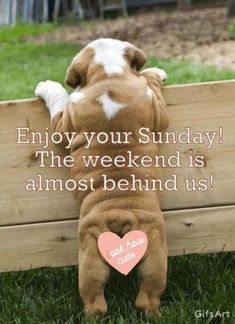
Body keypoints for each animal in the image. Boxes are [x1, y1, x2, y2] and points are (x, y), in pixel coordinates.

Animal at [35, 38, 169, 316]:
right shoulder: (157, 110)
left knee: (107, 296)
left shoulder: (64, 122)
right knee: (132, 295)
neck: (108, 76)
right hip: (140, 248)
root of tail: (121, 216)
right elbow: (151, 84)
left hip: (114, 251)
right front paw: (156, 72)